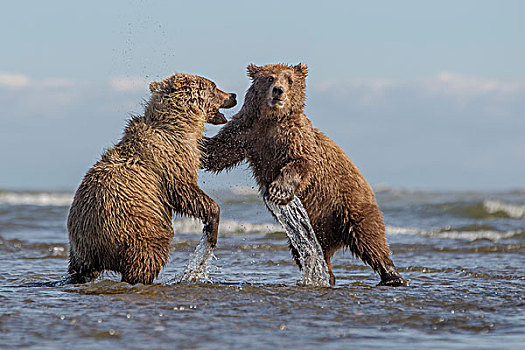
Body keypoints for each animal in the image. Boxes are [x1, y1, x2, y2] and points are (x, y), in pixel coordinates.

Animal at [66, 73, 236, 284]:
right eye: (213, 86)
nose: (233, 95)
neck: (179, 125)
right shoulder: (170, 160)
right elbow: (185, 192)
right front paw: (211, 229)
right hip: (136, 230)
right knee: (146, 259)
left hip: (80, 251)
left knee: (79, 270)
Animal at [203, 63, 408, 288]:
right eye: (269, 78)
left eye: (289, 80)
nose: (278, 91)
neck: (271, 120)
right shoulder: (246, 132)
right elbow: (218, 152)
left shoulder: (296, 138)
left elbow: (302, 162)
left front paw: (278, 191)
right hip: (313, 230)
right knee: (308, 252)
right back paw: (326, 276)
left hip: (348, 205)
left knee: (370, 238)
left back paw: (392, 275)